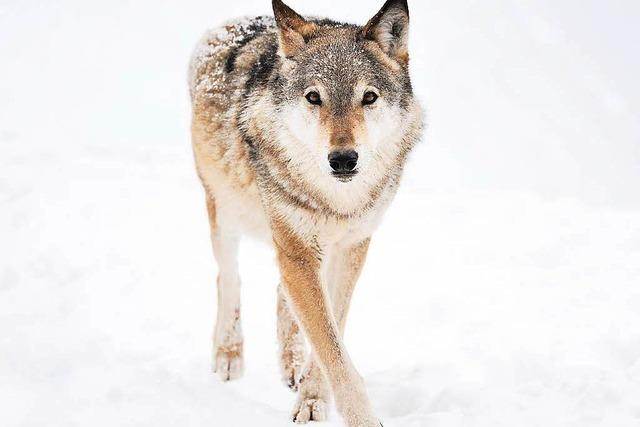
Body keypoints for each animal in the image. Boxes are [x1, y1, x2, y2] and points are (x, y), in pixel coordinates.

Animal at [188, 0, 422, 424]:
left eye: (369, 97)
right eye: (314, 97)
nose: (343, 159)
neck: (336, 201)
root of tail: (235, 22)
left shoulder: (352, 248)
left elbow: (332, 334)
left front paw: (312, 397)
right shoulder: (297, 250)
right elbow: (331, 348)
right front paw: (359, 417)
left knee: (281, 293)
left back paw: (291, 365)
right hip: (225, 212)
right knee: (228, 278)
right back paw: (228, 355)